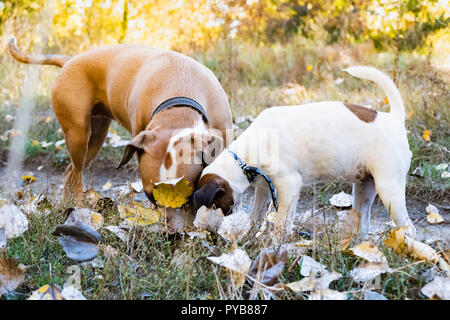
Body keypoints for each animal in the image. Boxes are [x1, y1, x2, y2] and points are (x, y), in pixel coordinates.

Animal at [9, 37, 234, 202]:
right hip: (78, 136)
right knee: (76, 173)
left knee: (70, 171)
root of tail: (69, 61)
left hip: (95, 138)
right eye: (150, 197)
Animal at [192, 67, 414, 242]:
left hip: (388, 189)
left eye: (214, 205)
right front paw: (249, 238)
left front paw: (273, 248)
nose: (201, 228)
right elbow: (256, 217)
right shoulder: (264, 188)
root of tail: (395, 119)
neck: (244, 157)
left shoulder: (289, 185)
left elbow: (281, 223)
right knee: (363, 224)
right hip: (364, 189)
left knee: (409, 227)